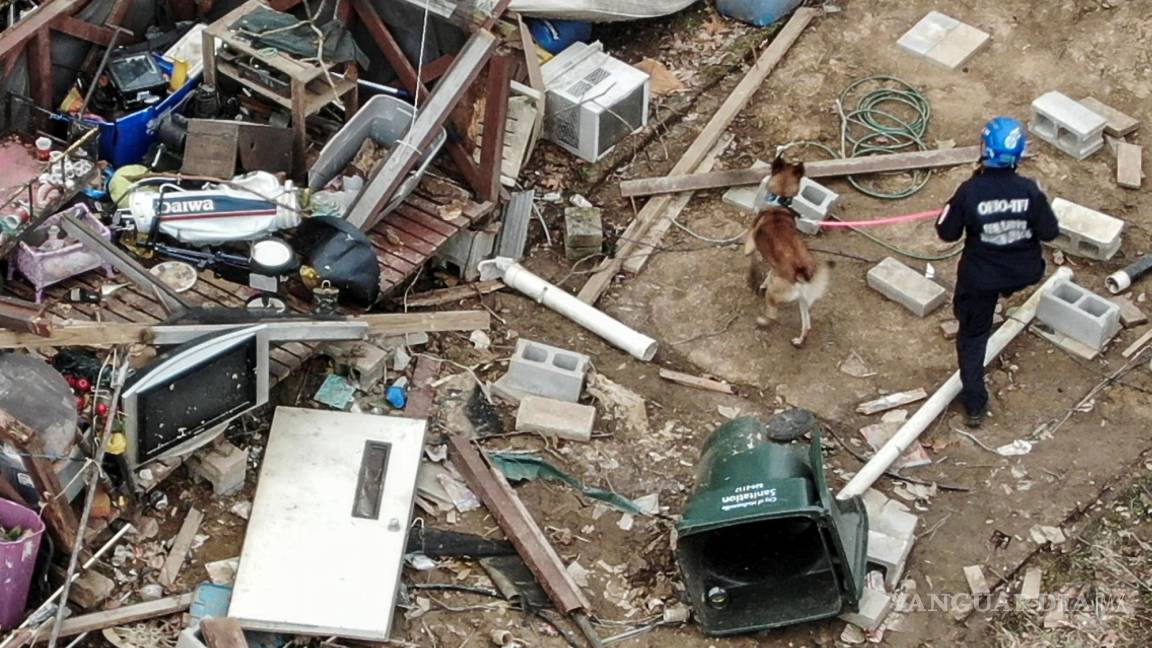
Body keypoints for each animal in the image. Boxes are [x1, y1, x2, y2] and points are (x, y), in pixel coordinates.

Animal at [746, 155, 829, 345]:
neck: (780, 201)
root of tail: (801, 272)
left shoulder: (750, 242)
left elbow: (751, 254)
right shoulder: (774, 264)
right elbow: (770, 271)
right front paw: (763, 281)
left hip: (774, 296)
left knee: (772, 315)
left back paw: (762, 321)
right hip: (803, 301)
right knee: (807, 326)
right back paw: (799, 341)